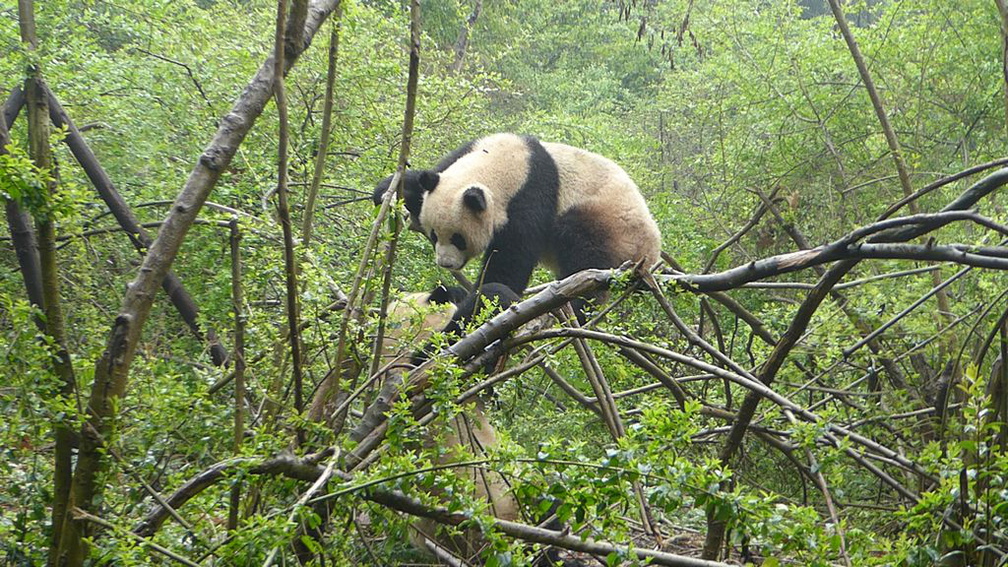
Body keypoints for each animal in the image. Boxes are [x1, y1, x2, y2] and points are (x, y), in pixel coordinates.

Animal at [370, 134, 661, 312]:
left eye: (458, 239)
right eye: (433, 235)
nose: (445, 263)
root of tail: (653, 252)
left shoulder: (530, 199)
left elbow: (509, 264)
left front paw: (483, 299)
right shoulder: (463, 155)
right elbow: (423, 181)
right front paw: (388, 193)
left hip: (610, 227)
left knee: (584, 253)